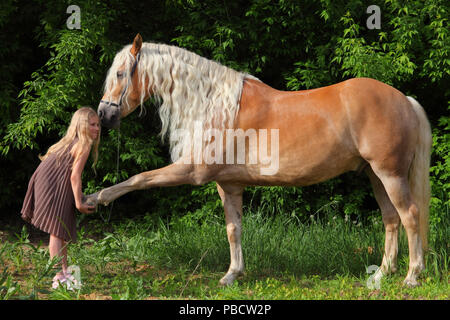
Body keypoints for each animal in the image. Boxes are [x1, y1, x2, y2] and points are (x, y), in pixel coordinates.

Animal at [90, 33, 432, 286]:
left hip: (390, 175)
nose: (104, 115)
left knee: (410, 216)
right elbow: (234, 228)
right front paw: (232, 275)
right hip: (376, 176)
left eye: (120, 73)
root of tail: (405, 100)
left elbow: (139, 178)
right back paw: (381, 274)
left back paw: (411, 277)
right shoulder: (228, 184)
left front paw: (94, 199)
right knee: (391, 219)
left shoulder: (191, 171)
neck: (213, 105)